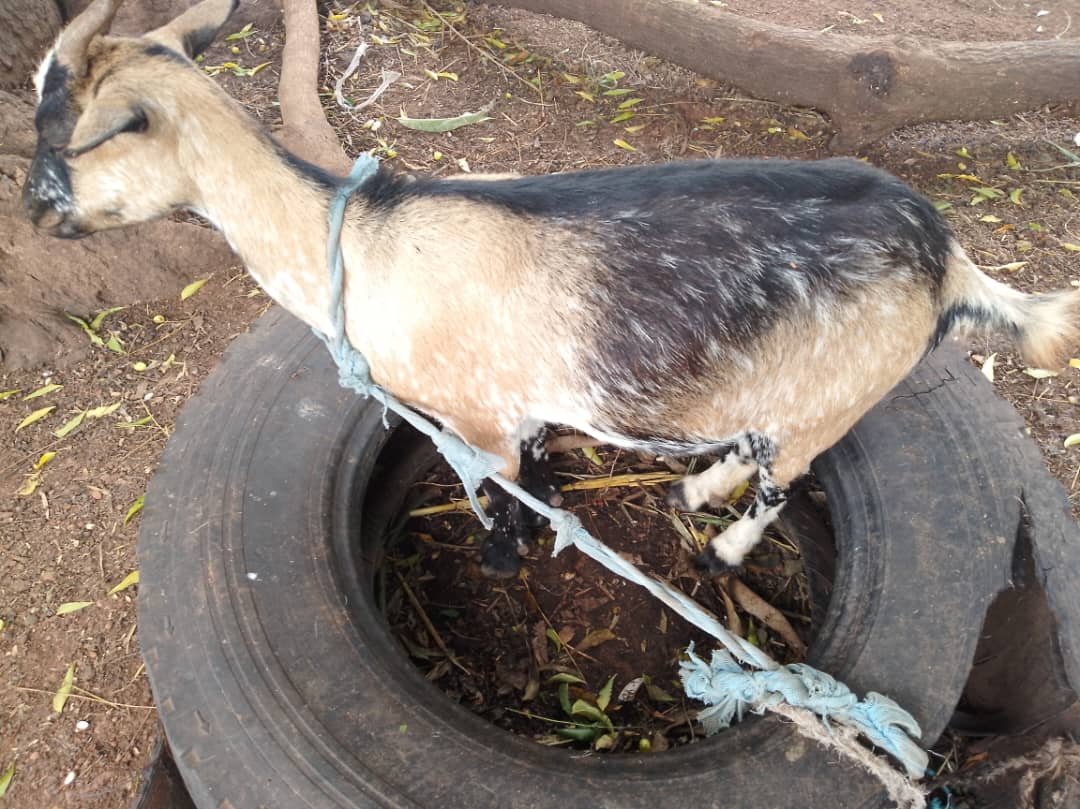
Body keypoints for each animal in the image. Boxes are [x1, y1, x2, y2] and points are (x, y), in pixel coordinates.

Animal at [24, 0, 1080, 578]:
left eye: (66, 134)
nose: (33, 213)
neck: (360, 244)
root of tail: (948, 257)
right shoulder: (519, 408)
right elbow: (537, 476)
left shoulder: (471, 418)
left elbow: (492, 496)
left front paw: (502, 559)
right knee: (752, 446)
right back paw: (695, 486)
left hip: (837, 394)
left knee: (788, 477)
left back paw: (724, 551)